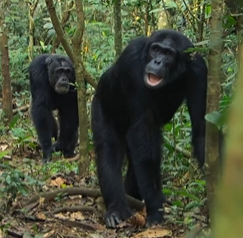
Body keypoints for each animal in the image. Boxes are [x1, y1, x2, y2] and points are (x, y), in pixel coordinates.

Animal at [91, 29, 207, 227]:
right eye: (156, 50)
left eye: (168, 53)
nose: (157, 61)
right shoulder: (132, 62)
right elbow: (142, 130)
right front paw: (155, 208)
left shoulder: (199, 71)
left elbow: (200, 128)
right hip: (100, 104)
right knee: (109, 150)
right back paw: (117, 209)